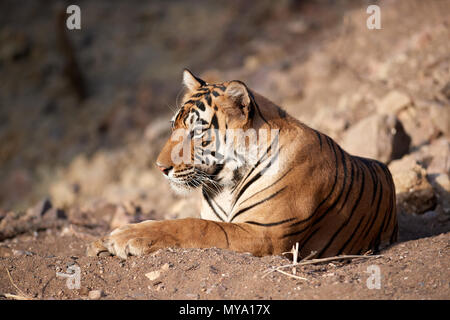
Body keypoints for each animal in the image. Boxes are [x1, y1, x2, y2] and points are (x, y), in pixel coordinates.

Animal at [87, 69, 398, 258]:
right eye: (173, 126)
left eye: (195, 132)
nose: (160, 168)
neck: (224, 183)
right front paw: (101, 241)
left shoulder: (265, 234)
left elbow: (193, 226)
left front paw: (125, 236)